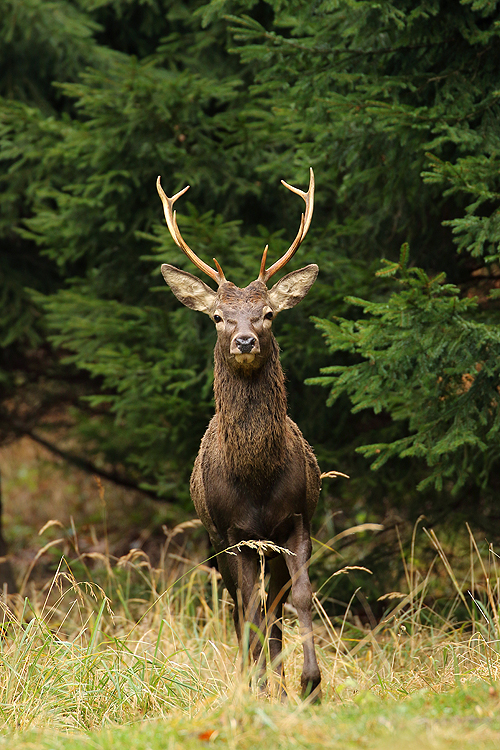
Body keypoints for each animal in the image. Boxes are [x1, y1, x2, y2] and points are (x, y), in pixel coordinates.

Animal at [156, 169, 320, 700]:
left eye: (268, 313)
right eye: (216, 316)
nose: (244, 340)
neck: (256, 482)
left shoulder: (297, 521)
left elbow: (298, 599)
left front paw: (308, 683)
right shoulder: (231, 532)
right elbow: (247, 613)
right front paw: (259, 688)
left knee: (272, 610)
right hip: (214, 541)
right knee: (240, 610)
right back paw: (258, 680)